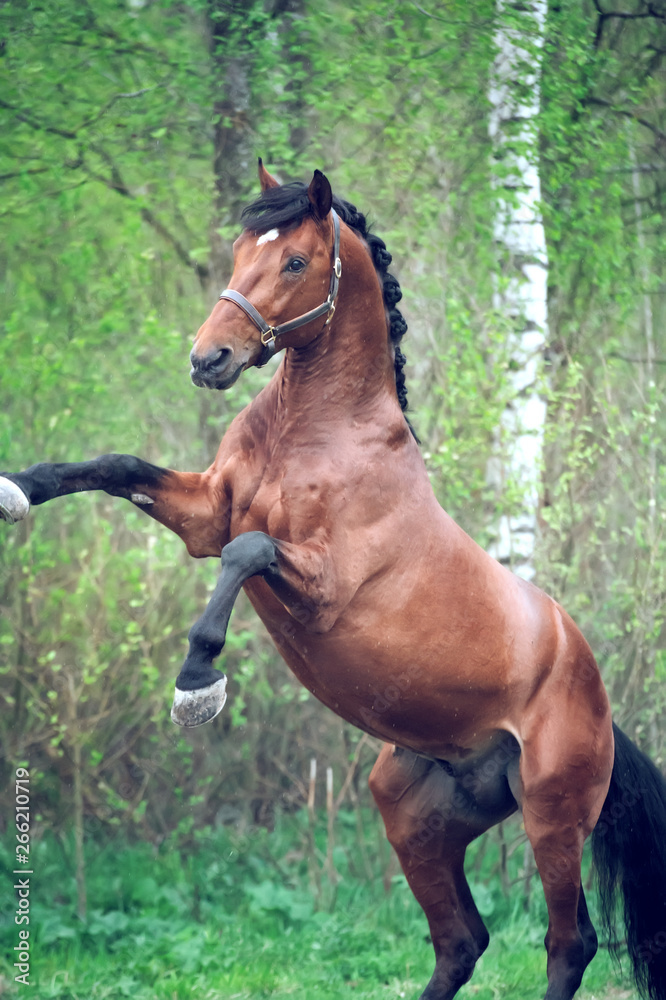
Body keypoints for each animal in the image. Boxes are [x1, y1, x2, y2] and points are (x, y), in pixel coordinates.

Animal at [2, 162, 666, 1000]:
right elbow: (118, 467)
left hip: (552, 813)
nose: (208, 359)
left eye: (295, 261)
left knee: (567, 941)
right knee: (462, 940)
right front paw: (16, 489)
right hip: (415, 812)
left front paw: (197, 682)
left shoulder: (320, 585)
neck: (313, 432)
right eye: (242, 247)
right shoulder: (203, 514)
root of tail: (598, 698)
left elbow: (248, 550)